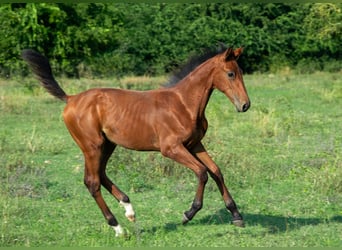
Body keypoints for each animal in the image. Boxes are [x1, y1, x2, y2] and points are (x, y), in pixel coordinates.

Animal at [22, 46, 250, 236]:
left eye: (240, 72)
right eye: (230, 74)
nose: (245, 105)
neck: (183, 104)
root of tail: (71, 99)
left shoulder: (195, 144)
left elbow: (216, 171)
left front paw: (236, 215)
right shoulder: (171, 148)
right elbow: (202, 172)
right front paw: (189, 213)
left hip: (107, 145)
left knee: (100, 175)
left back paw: (128, 208)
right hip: (92, 146)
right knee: (92, 182)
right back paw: (117, 227)